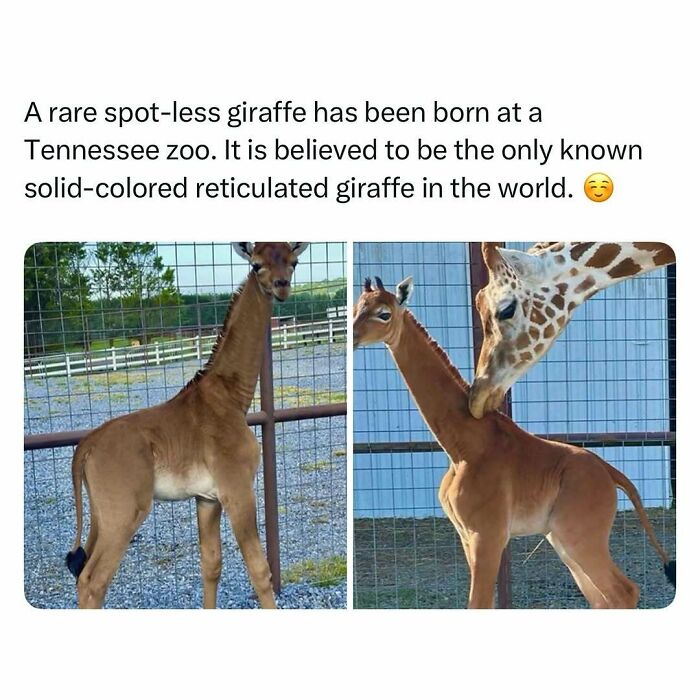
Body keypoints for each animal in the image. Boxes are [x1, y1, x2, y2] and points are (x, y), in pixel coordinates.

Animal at [65, 242, 309, 608]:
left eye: (292, 262)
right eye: (256, 265)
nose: (281, 286)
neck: (231, 397)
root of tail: (85, 448)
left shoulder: (207, 499)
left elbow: (211, 565)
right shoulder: (237, 489)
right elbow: (260, 571)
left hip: (100, 514)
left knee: (80, 570)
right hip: (124, 512)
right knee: (93, 580)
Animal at [353, 276, 675, 608]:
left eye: (383, 314)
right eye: (355, 308)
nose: (352, 336)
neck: (463, 446)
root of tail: (611, 473)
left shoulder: (488, 535)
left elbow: (479, 603)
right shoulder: (467, 537)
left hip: (579, 536)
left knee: (623, 591)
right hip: (562, 539)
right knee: (603, 599)